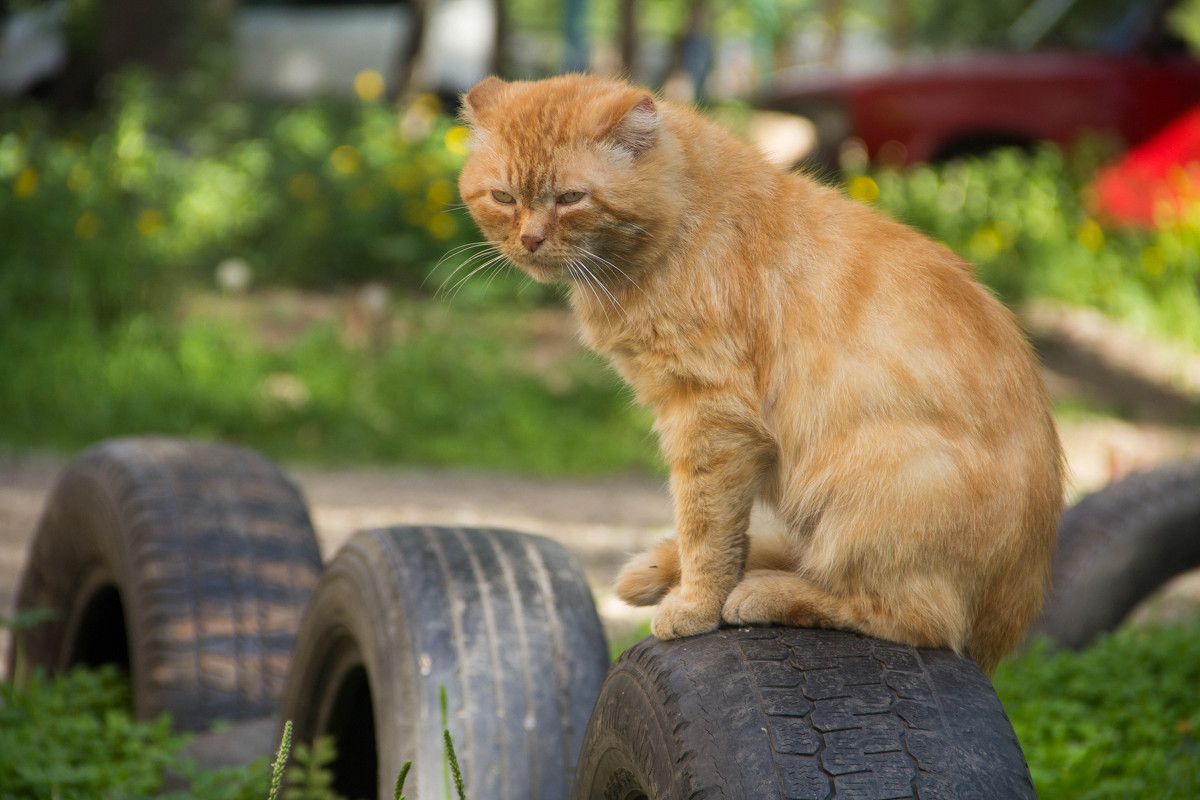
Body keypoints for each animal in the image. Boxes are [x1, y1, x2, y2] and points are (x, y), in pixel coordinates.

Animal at [453, 76, 1065, 676]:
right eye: (504, 198)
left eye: (570, 198)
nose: (530, 239)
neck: (683, 220)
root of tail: (1007, 626)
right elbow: (722, 531)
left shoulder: (710, 415)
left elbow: (705, 524)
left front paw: (697, 604)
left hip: (882, 485)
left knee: (914, 617)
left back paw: (764, 592)